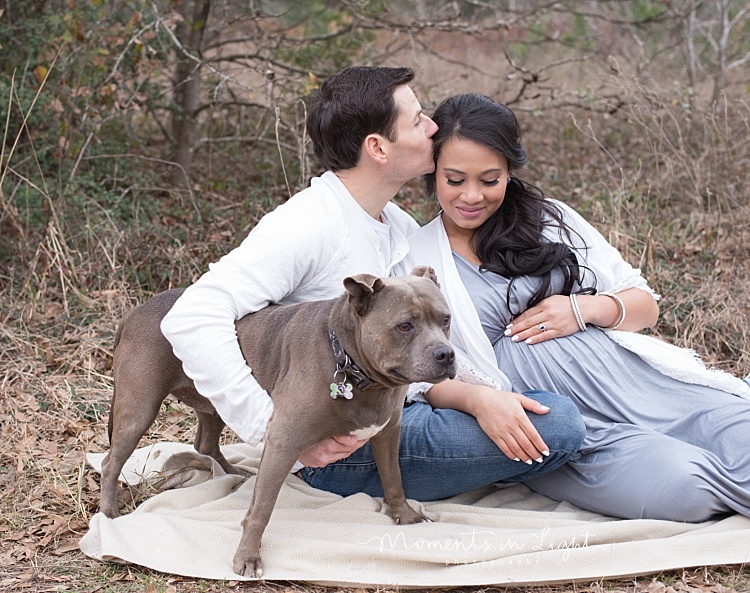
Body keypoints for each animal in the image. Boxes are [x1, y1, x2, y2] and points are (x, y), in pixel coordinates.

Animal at [97, 266, 456, 576]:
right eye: (404, 326)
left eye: (445, 319)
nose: (447, 354)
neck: (348, 359)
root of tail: (135, 311)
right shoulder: (285, 440)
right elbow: (262, 508)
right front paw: (247, 557)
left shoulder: (388, 432)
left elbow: (394, 479)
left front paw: (406, 516)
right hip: (140, 406)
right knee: (112, 461)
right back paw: (109, 511)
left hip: (215, 401)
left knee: (206, 444)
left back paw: (236, 473)